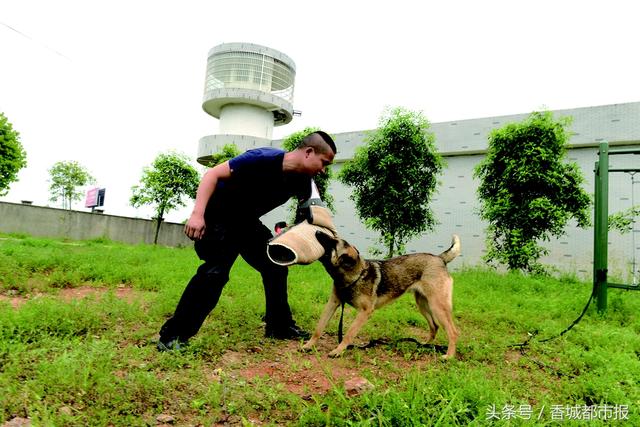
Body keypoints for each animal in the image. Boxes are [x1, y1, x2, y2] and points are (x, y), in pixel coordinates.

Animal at [302, 232, 462, 360]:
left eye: (334, 242)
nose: (317, 230)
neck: (355, 276)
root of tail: (439, 258)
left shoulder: (364, 312)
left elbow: (348, 334)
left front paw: (338, 350)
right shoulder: (332, 303)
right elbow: (319, 328)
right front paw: (309, 345)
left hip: (437, 306)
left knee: (453, 332)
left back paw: (449, 356)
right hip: (423, 304)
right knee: (434, 326)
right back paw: (423, 345)